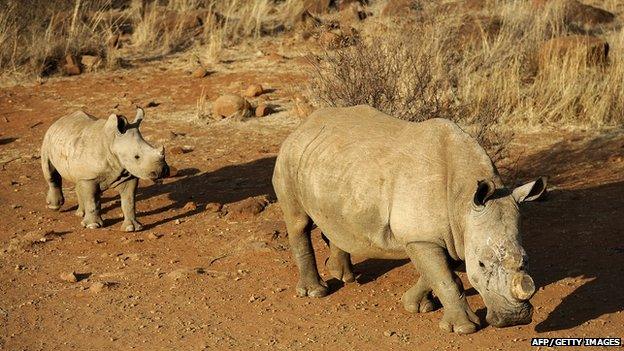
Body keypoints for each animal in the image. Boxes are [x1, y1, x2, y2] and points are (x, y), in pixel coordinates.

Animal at [40, 108, 169, 232]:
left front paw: (132, 228)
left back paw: (80, 214)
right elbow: (92, 201)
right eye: (136, 157)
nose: (162, 171)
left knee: (77, 180)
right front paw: (93, 226)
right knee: (50, 173)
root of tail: (59, 120)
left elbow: (129, 201)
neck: (113, 142)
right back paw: (54, 207)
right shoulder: (89, 177)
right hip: (48, 139)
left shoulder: (128, 174)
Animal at [272, 105, 544, 336]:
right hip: (289, 157)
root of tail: (302, 125)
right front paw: (463, 329)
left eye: (526, 260)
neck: (463, 199)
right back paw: (316, 292)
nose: (514, 319)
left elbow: (437, 272)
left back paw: (345, 277)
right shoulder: (422, 237)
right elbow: (444, 277)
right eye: (481, 264)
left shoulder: (449, 234)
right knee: (298, 222)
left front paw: (416, 306)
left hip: (333, 166)